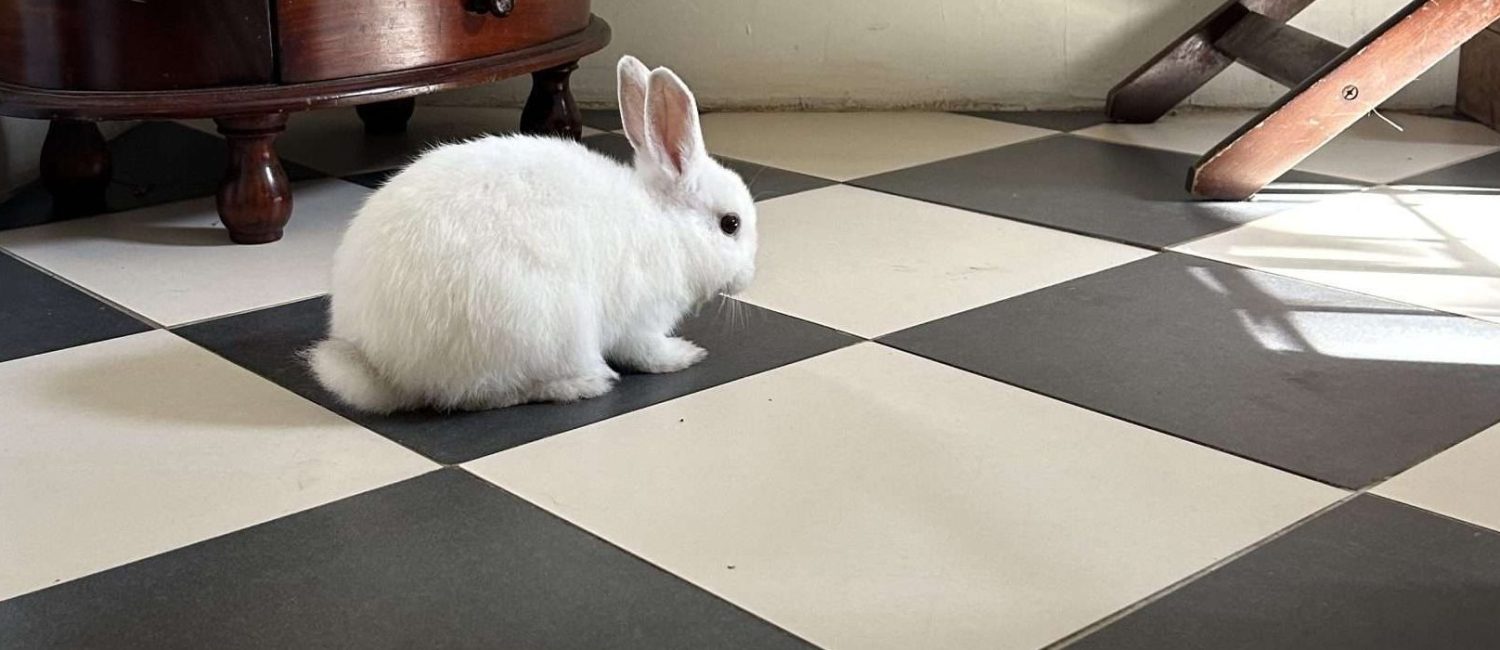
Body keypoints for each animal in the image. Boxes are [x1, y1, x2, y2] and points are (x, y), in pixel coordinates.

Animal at [306, 55, 758, 414]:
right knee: (486, 393)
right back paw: (583, 383)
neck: (667, 226)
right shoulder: (642, 319)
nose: (749, 277)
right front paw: (685, 355)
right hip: (539, 327)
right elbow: (647, 352)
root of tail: (380, 363)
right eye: (730, 224)